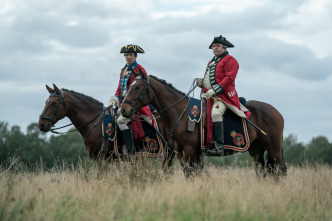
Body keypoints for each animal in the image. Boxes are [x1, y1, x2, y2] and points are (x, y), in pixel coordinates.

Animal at [120, 69, 288, 178]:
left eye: (137, 87)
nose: (123, 110)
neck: (179, 113)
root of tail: (276, 112)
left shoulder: (189, 152)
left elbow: (192, 175)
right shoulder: (180, 154)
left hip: (273, 149)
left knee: (279, 170)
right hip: (256, 149)